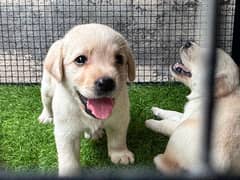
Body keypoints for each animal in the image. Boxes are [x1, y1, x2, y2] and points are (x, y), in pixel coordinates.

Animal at [37, 23, 135, 176]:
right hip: (47, 88)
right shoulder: (66, 132)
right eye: (80, 59)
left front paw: (120, 154)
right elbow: (69, 157)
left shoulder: (120, 118)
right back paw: (45, 116)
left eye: (119, 59)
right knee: (46, 103)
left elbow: (118, 138)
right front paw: (69, 173)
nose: (106, 83)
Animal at [145, 41, 240, 174]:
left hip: (181, 131)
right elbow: (172, 113)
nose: (187, 43)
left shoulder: (182, 122)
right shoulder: (186, 114)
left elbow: (165, 124)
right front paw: (156, 110)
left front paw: (150, 122)